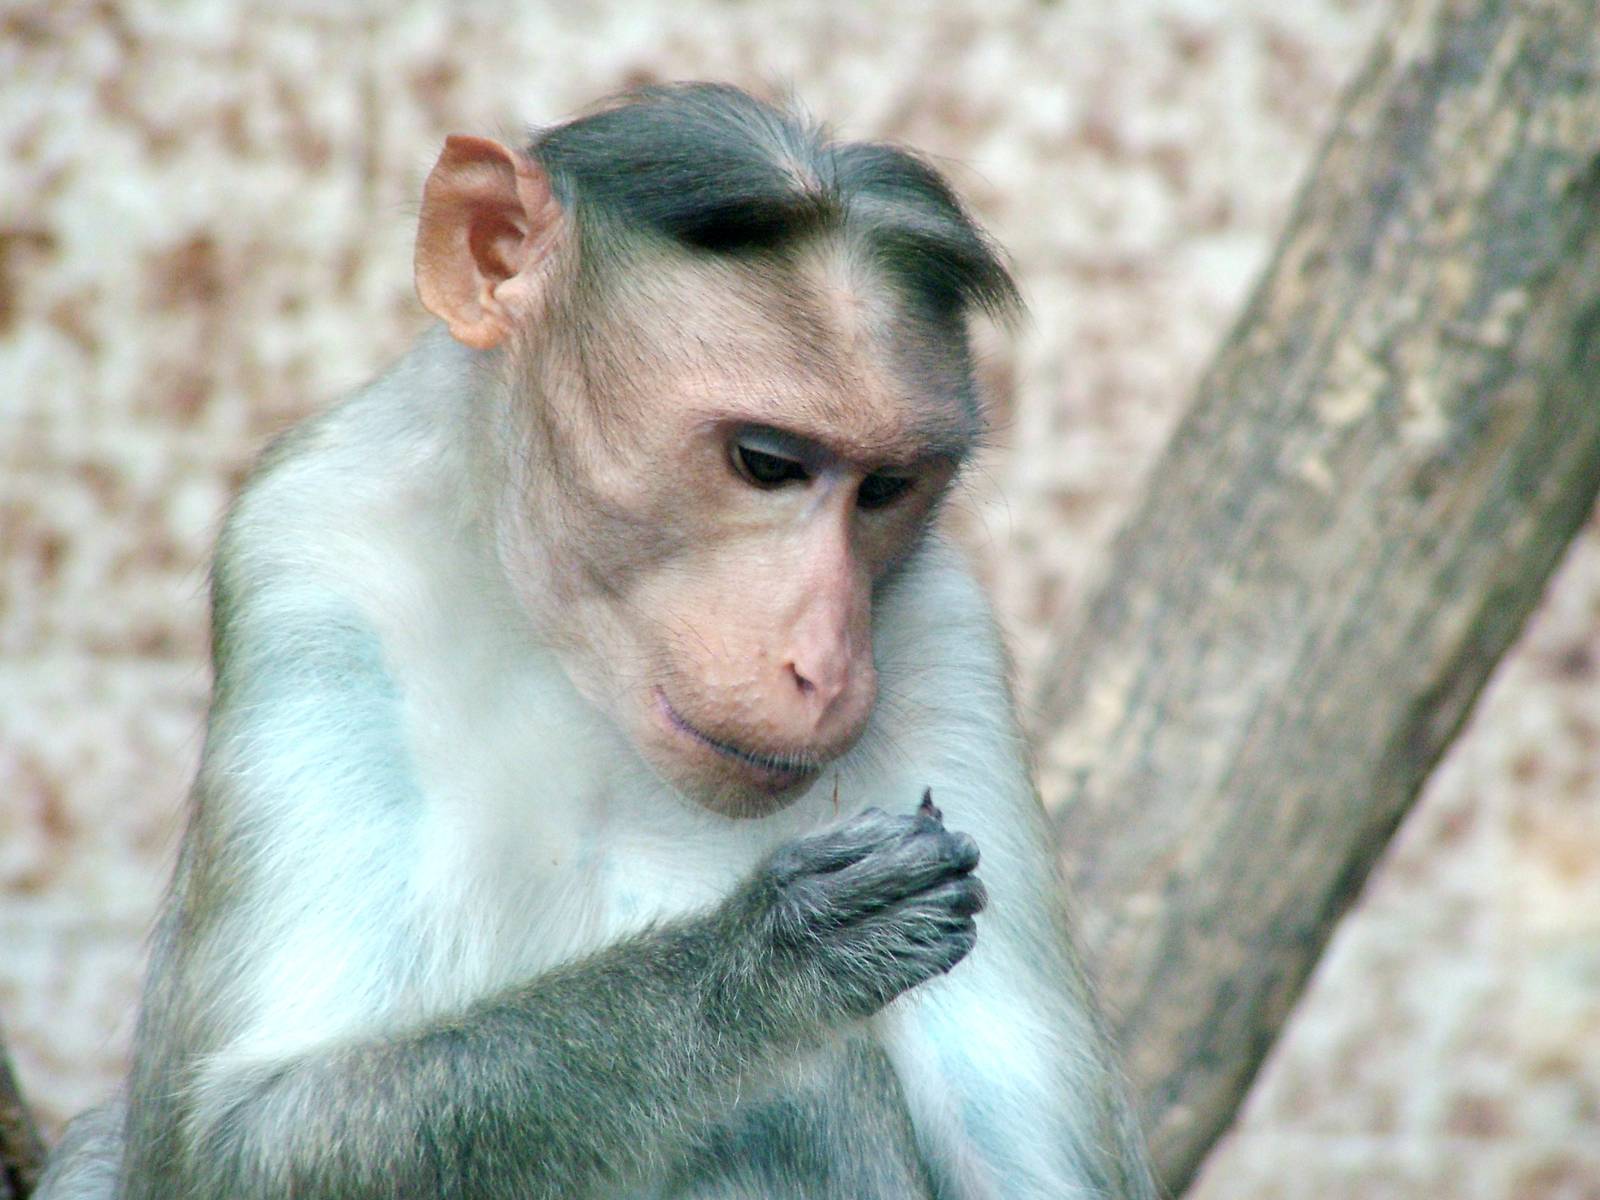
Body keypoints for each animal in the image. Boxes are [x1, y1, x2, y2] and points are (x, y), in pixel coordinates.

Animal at [35, 84, 1156, 1200]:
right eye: (766, 462)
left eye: (884, 490)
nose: (828, 666)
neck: (570, 660)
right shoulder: (304, 553)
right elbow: (231, 1138)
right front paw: (764, 961)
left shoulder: (941, 638)